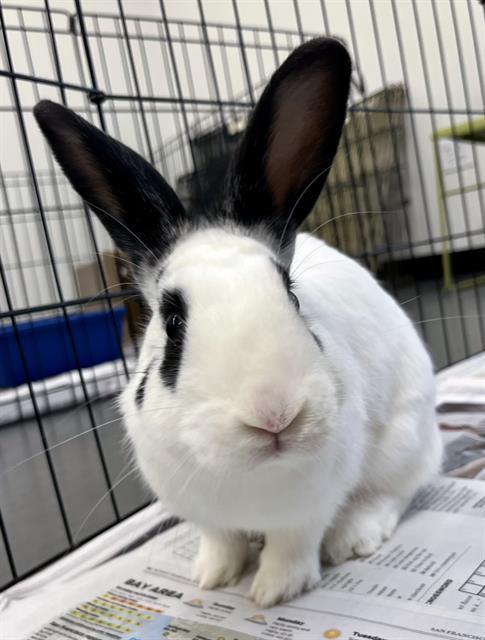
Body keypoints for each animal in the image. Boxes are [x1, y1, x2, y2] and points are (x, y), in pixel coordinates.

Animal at [34, 37, 442, 608]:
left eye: (291, 295)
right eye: (172, 320)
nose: (275, 415)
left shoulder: (308, 509)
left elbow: (294, 544)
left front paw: (274, 592)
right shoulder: (202, 511)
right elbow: (220, 538)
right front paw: (212, 577)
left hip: (403, 439)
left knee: (398, 490)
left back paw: (355, 535)